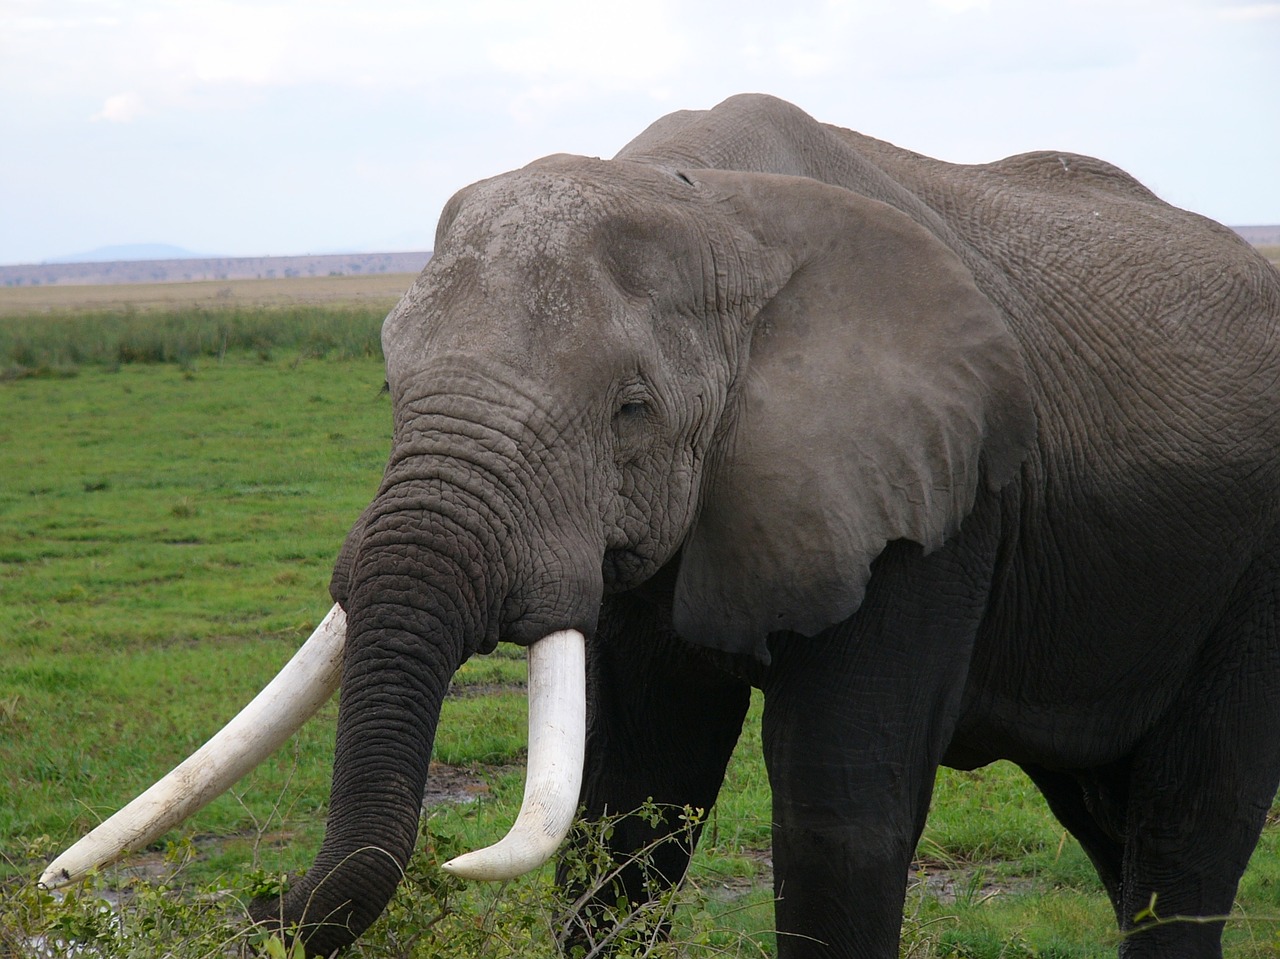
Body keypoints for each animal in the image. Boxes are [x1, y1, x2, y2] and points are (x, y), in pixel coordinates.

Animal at [45, 91, 1280, 957]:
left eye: (629, 410)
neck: (713, 204)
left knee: (1189, 826)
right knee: (1112, 822)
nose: (260, 902)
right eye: (389, 386)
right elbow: (627, 809)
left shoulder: (935, 504)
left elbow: (842, 822)